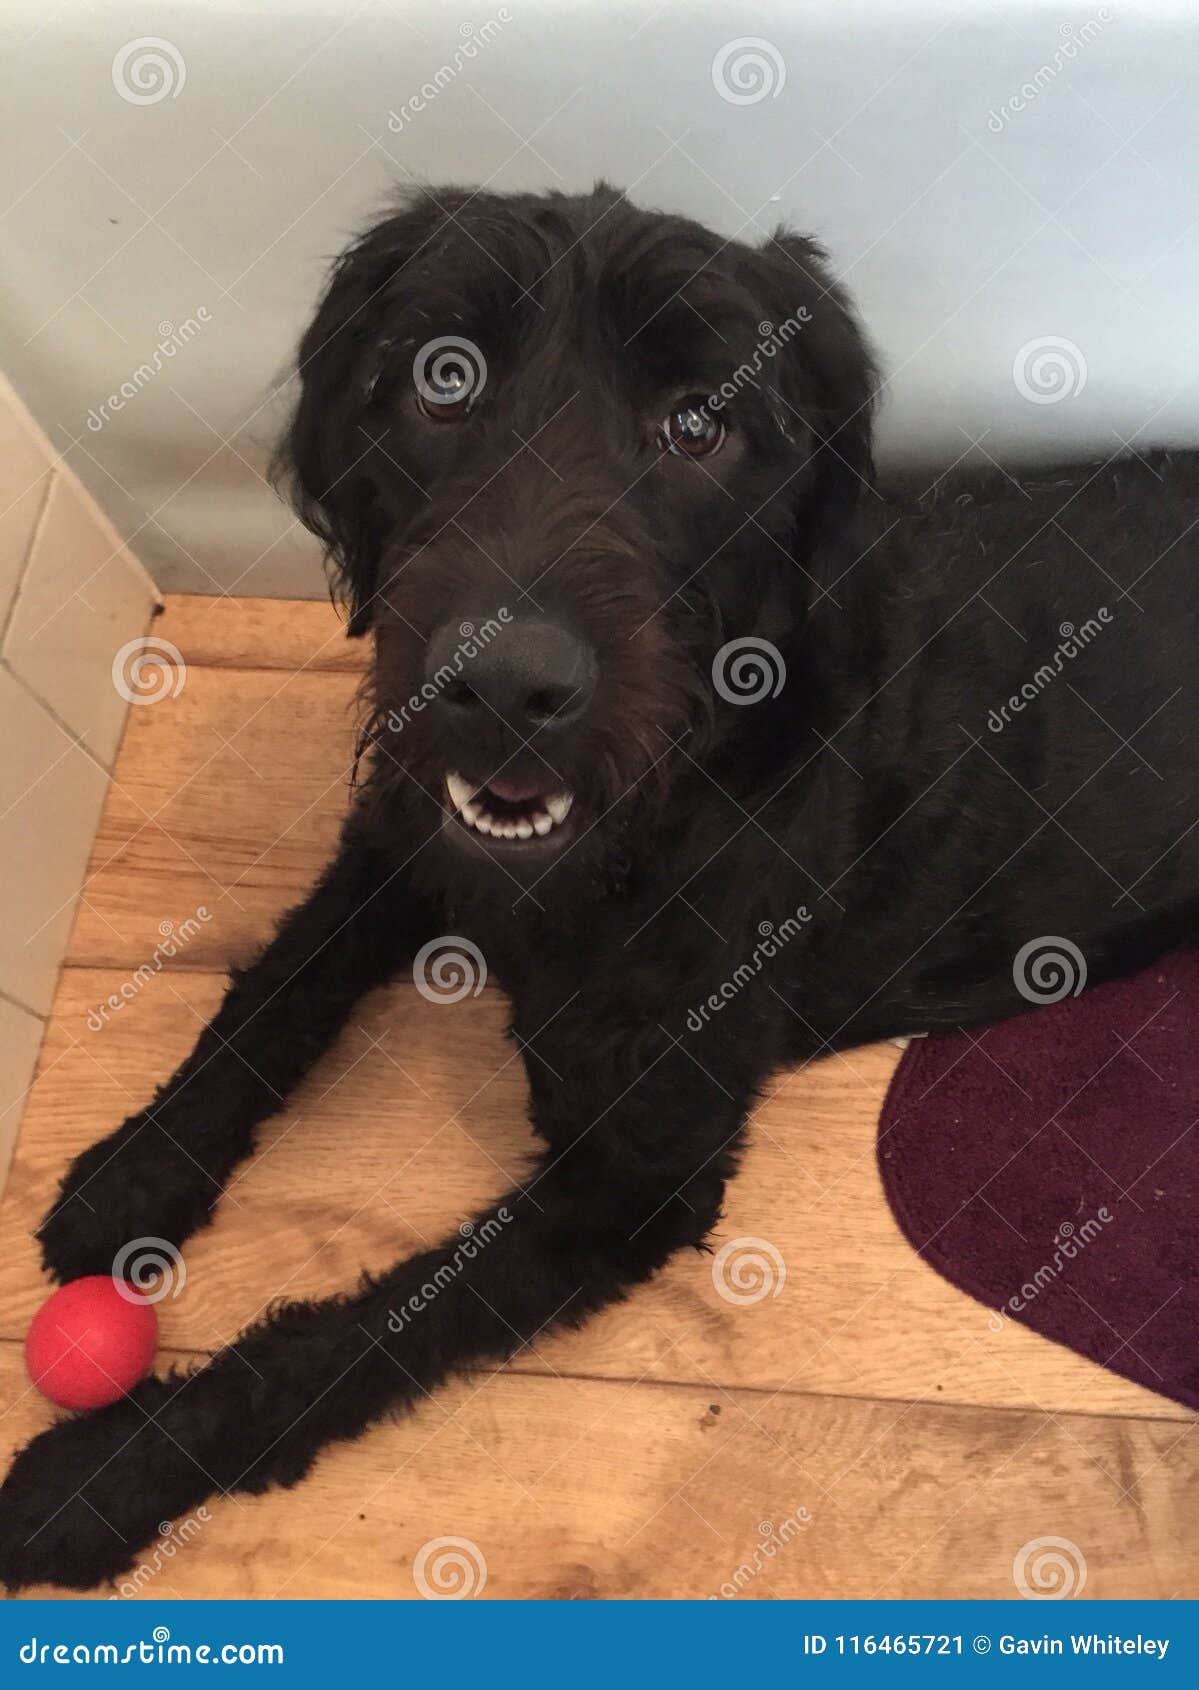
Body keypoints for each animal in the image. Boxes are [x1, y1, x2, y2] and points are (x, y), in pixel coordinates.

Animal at [2, 185, 1197, 1581]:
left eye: (699, 422)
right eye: (444, 378)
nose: (501, 686)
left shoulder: (634, 1178)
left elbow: (363, 1329)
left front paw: (104, 1471)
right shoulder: (408, 831)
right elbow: (280, 979)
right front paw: (139, 1170)